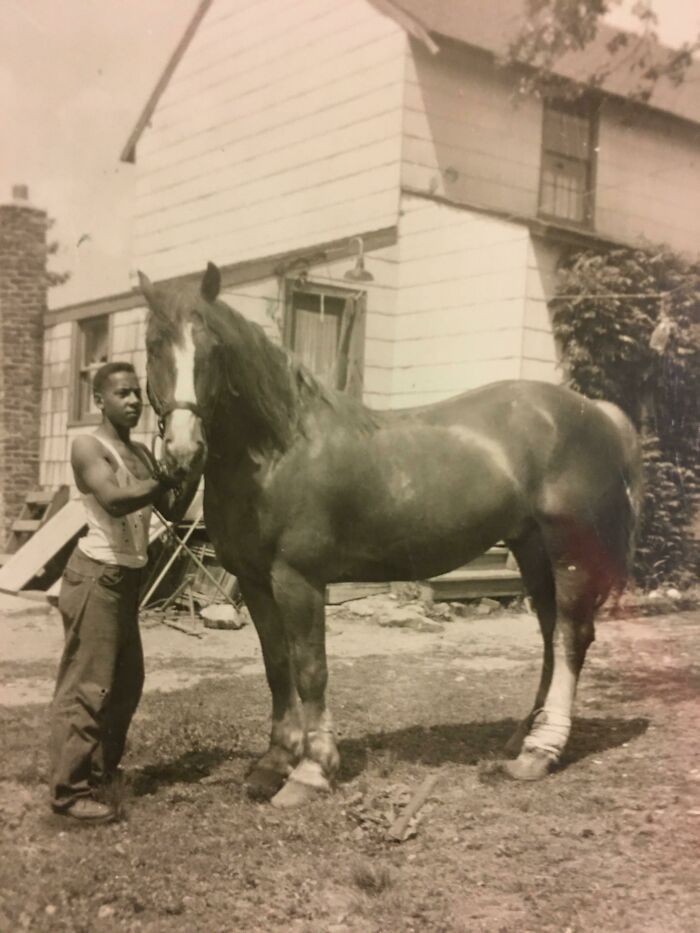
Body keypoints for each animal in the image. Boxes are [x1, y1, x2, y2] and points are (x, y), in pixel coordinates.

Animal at [139, 262, 644, 808]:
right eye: (153, 344)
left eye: (213, 349)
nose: (183, 451)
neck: (279, 451)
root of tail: (598, 413)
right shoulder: (254, 582)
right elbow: (276, 666)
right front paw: (273, 763)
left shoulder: (298, 581)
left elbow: (310, 669)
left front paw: (311, 771)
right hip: (531, 549)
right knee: (551, 634)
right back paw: (520, 738)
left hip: (569, 552)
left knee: (571, 636)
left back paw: (540, 752)